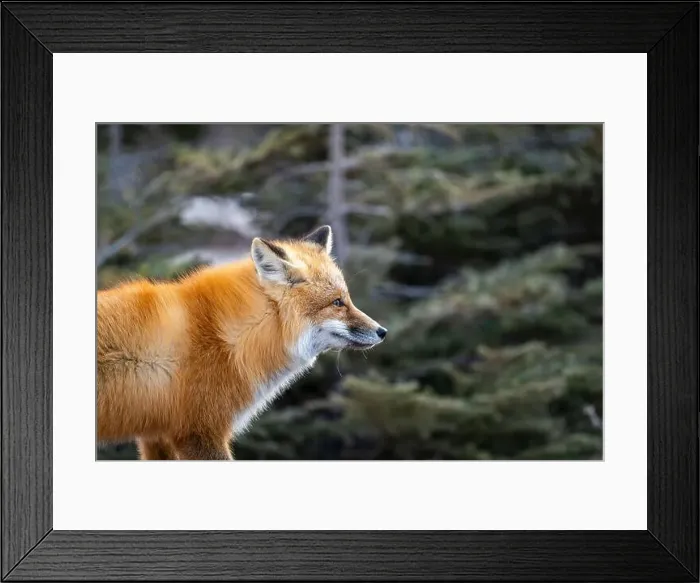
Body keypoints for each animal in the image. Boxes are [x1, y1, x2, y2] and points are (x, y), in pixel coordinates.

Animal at [97, 225, 387, 460]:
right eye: (337, 303)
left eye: (347, 299)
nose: (382, 331)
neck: (228, 339)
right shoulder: (200, 432)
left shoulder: (157, 436)